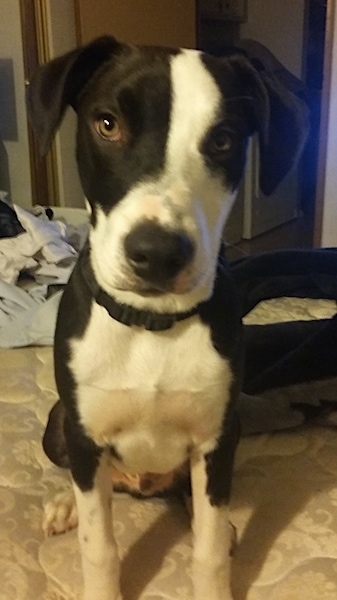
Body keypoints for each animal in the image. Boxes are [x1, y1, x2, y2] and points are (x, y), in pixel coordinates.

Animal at [27, 36, 308, 600]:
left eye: (223, 140)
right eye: (107, 123)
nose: (157, 254)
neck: (151, 324)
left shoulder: (216, 441)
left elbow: (206, 552)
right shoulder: (85, 434)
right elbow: (99, 546)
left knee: (196, 509)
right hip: (59, 425)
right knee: (86, 481)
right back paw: (68, 504)